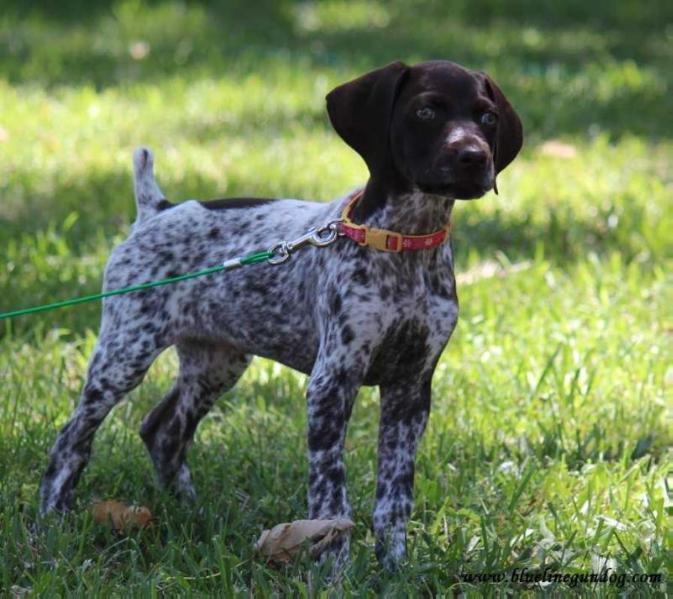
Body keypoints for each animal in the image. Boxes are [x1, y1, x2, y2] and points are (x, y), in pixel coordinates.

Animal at [39, 61, 524, 572]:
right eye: (427, 111)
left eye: (487, 117)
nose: (474, 157)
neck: (403, 243)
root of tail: (158, 210)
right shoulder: (333, 382)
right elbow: (332, 498)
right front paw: (334, 572)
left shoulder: (411, 389)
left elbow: (394, 498)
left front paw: (394, 569)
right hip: (124, 353)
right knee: (72, 439)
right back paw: (52, 520)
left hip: (217, 362)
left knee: (163, 432)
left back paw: (192, 513)